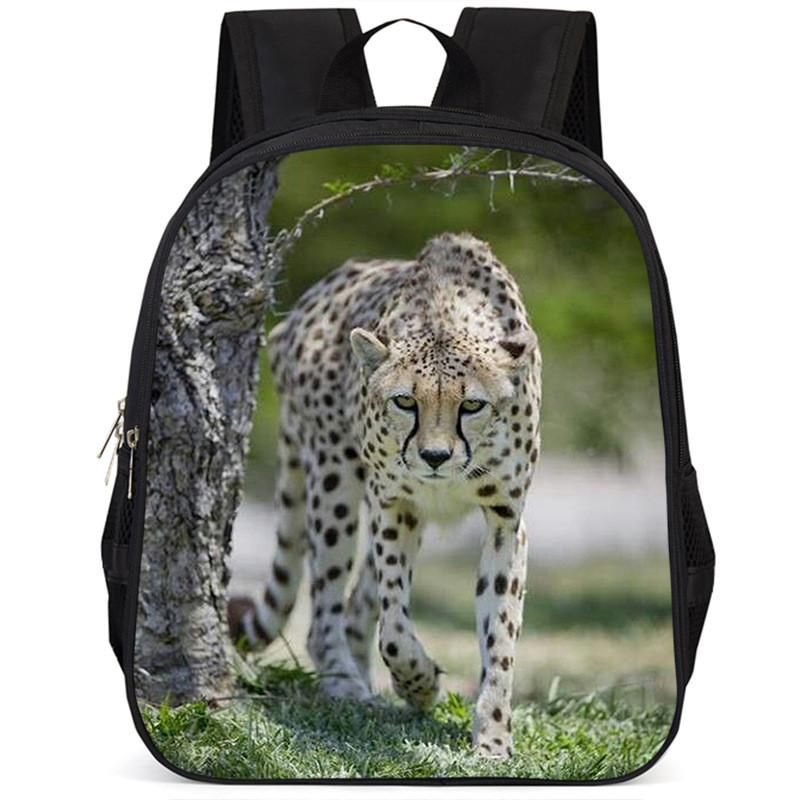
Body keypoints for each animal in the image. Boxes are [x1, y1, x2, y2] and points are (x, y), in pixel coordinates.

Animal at [228, 232, 541, 757]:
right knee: (326, 611)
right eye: (405, 401)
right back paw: (344, 683)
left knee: (356, 607)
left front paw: (493, 739)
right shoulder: (395, 507)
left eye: (472, 405)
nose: (434, 456)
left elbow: (501, 634)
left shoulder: (505, 518)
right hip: (333, 482)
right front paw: (420, 682)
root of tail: (298, 313)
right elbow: (393, 628)